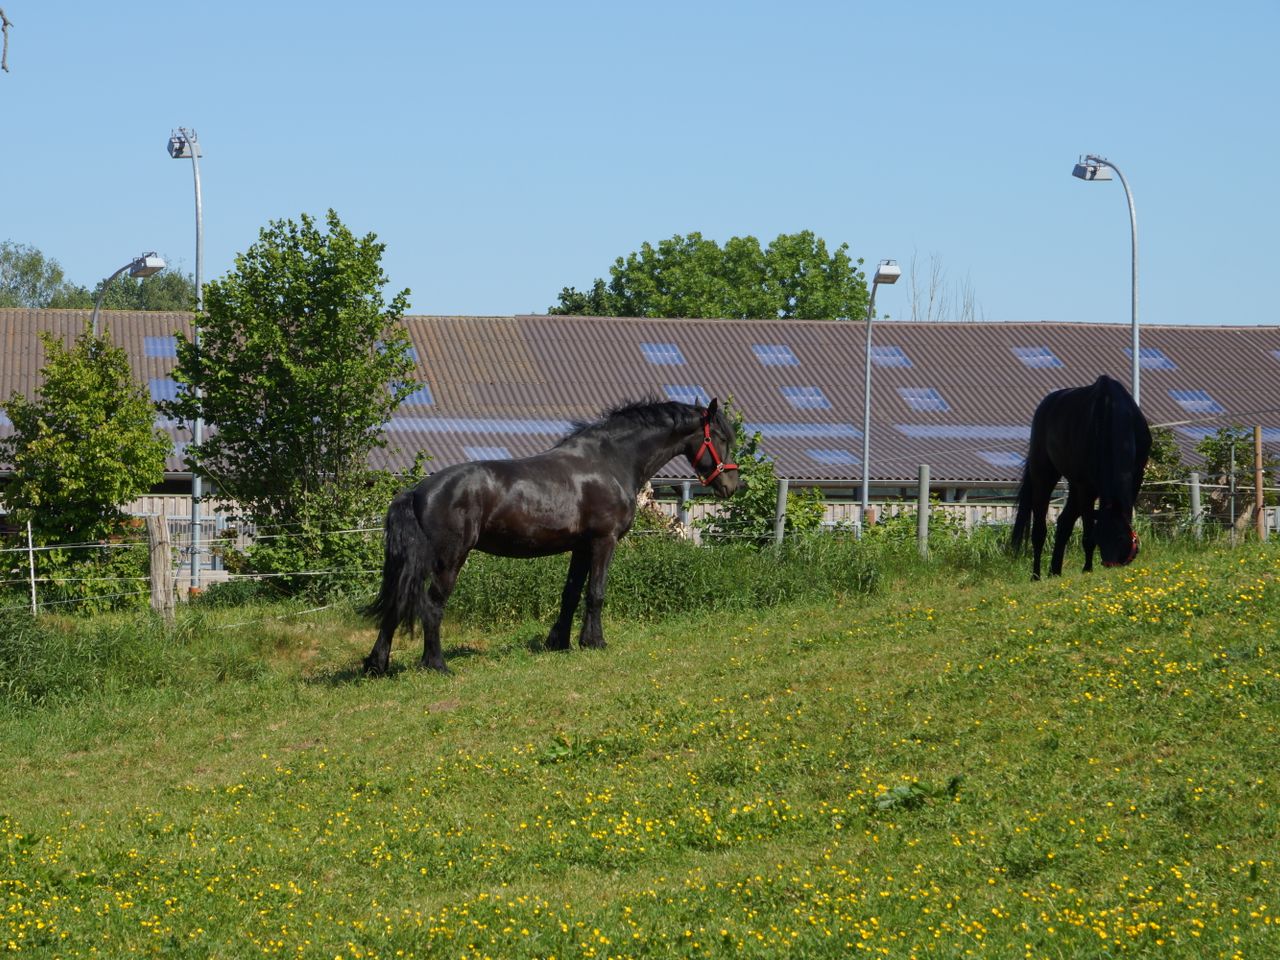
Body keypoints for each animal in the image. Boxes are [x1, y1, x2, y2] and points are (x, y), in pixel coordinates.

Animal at [360, 399, 742, 675]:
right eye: (722, 438)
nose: (732, 485)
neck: (610, 461)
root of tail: (417, 490)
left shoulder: (581, 547)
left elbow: (571, 594)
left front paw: (559, 642)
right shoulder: (603, 541)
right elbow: (596, 593)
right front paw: (594, 642)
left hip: (416, 563)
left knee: (397, 603)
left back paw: (377, 666)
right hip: (448, 559)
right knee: (432, 605)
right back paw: (436, 664)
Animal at [1013, 378, 1157, 578]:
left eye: (1121, 537)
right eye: (1099, 537)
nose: (1111, 565)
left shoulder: (1136, 476)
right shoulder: (1086, 486)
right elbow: (1087, 532)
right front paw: (1087, 568)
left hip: (1075, 486)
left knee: (1064, 522)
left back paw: (1055, 571)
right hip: (1045, 475)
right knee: (1040, 529)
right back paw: (1036, 575)